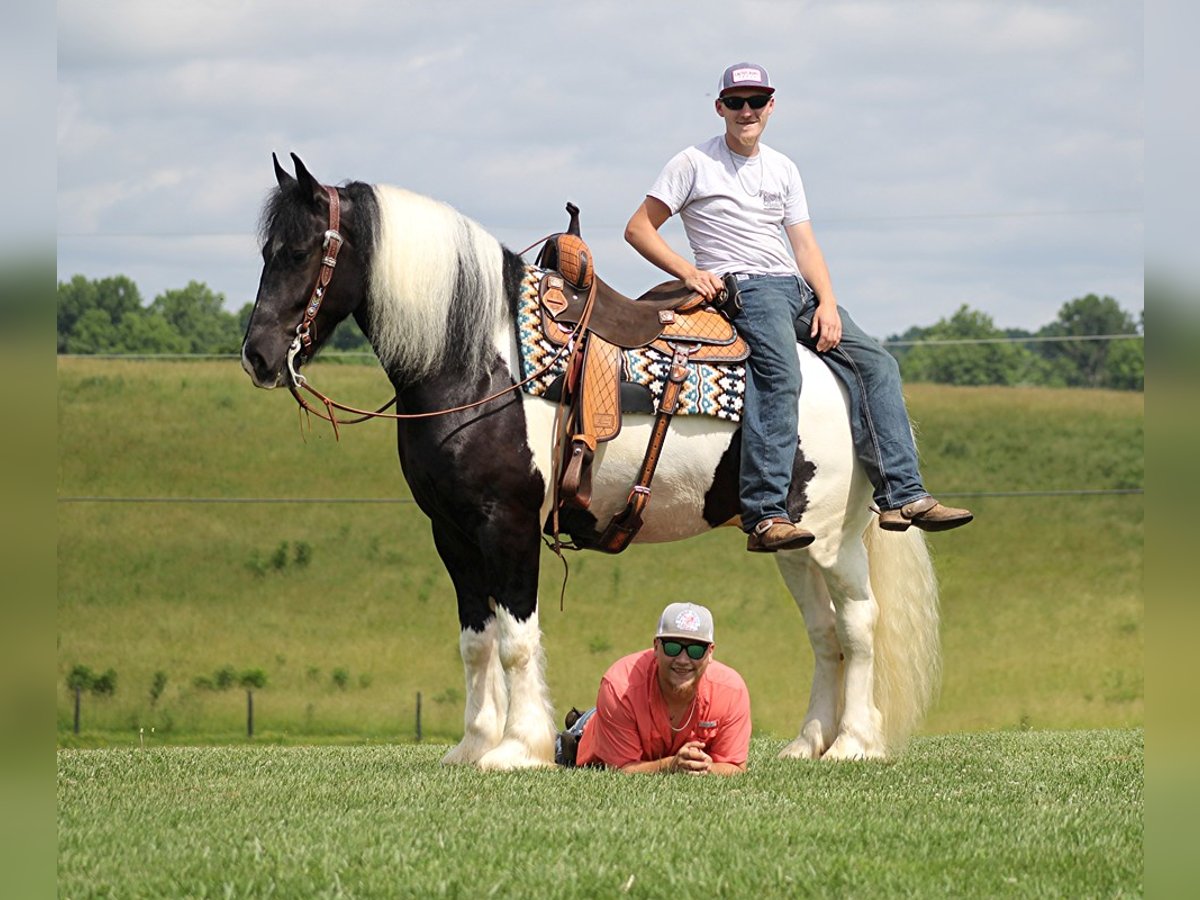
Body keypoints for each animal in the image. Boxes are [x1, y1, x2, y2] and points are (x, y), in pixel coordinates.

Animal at [241, 154, 936, 768]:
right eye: (266, 252)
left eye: (300, 252)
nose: (257, 356)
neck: (480, 363)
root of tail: (835, 367)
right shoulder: (452, 532)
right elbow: (475, 643)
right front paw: (472, 746)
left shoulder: (509, 524)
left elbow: (516, 641)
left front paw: (517, 749)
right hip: (789, 541)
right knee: (823, 633)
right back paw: (807, 743)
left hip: (835, 541)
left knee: (858, 626)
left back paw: (853, 743)